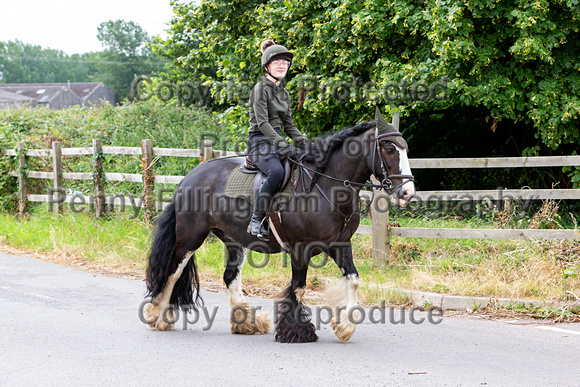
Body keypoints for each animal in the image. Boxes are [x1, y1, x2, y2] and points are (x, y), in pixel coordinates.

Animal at [145, 107, 416, 344]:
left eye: (406, 149)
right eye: (389, 148)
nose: (408, 193)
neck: (325, 187)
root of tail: (189, 177)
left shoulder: (340, 244)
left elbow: (353, 279)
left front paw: (345, 327)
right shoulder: (300, 248)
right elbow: (298, 288)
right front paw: (297, 332)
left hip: (234, 241)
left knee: (230, 276)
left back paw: (247, 322)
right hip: (190, 237)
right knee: (173, 271)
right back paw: (159, 316)